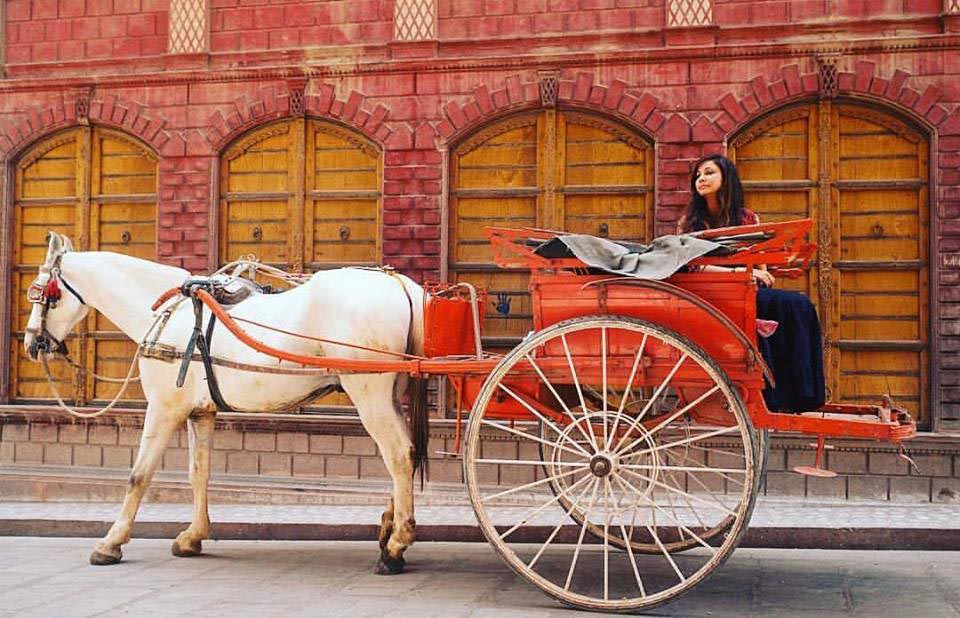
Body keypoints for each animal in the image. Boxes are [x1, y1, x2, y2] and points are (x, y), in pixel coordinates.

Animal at [21, 232, 428, 572]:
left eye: (42, 293)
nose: (32, 343)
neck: (171, 313)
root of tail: (399, 284)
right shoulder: (200, 413)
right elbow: (198, 472)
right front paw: (193, 536)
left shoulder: (164, 409)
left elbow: (139, 474)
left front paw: (111, 542)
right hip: (391, 394)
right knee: (403, 456)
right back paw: (389, 529)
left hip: (369, 394)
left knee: (397, 455)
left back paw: (396, 545)